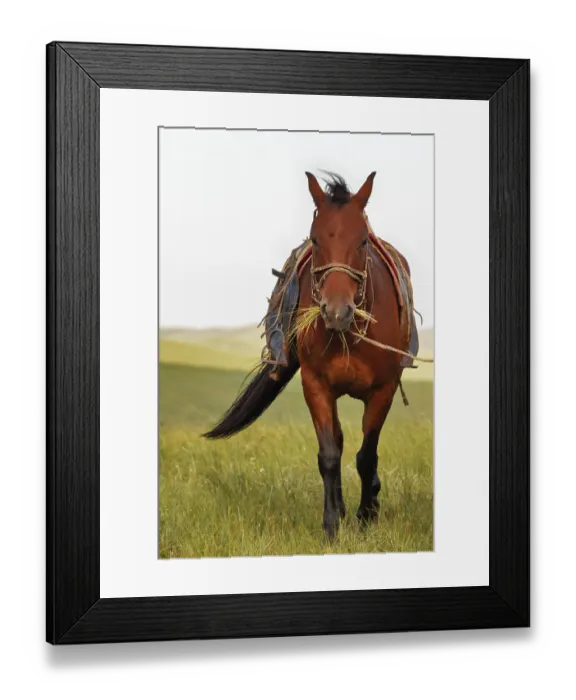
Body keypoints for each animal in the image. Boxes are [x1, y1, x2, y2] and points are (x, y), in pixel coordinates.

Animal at [203, 171, 412, 540]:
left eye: (362, 242)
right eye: (315, 240)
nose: (336, 311)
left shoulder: (383, 390)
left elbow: (366, 455)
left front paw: (365, 517)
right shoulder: (316, 385)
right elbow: (329, 454)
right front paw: (331, 525)